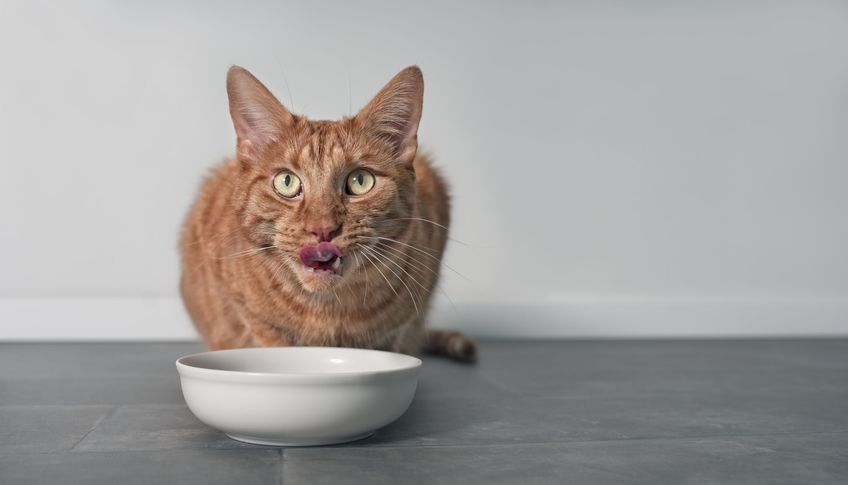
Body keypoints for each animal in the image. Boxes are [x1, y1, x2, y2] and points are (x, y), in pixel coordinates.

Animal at [179, 67, 476, 364]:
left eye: (360, 181)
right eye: (286, 182)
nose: (322, 229)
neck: (327, 312)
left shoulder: (399, 328)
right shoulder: (249, 314)